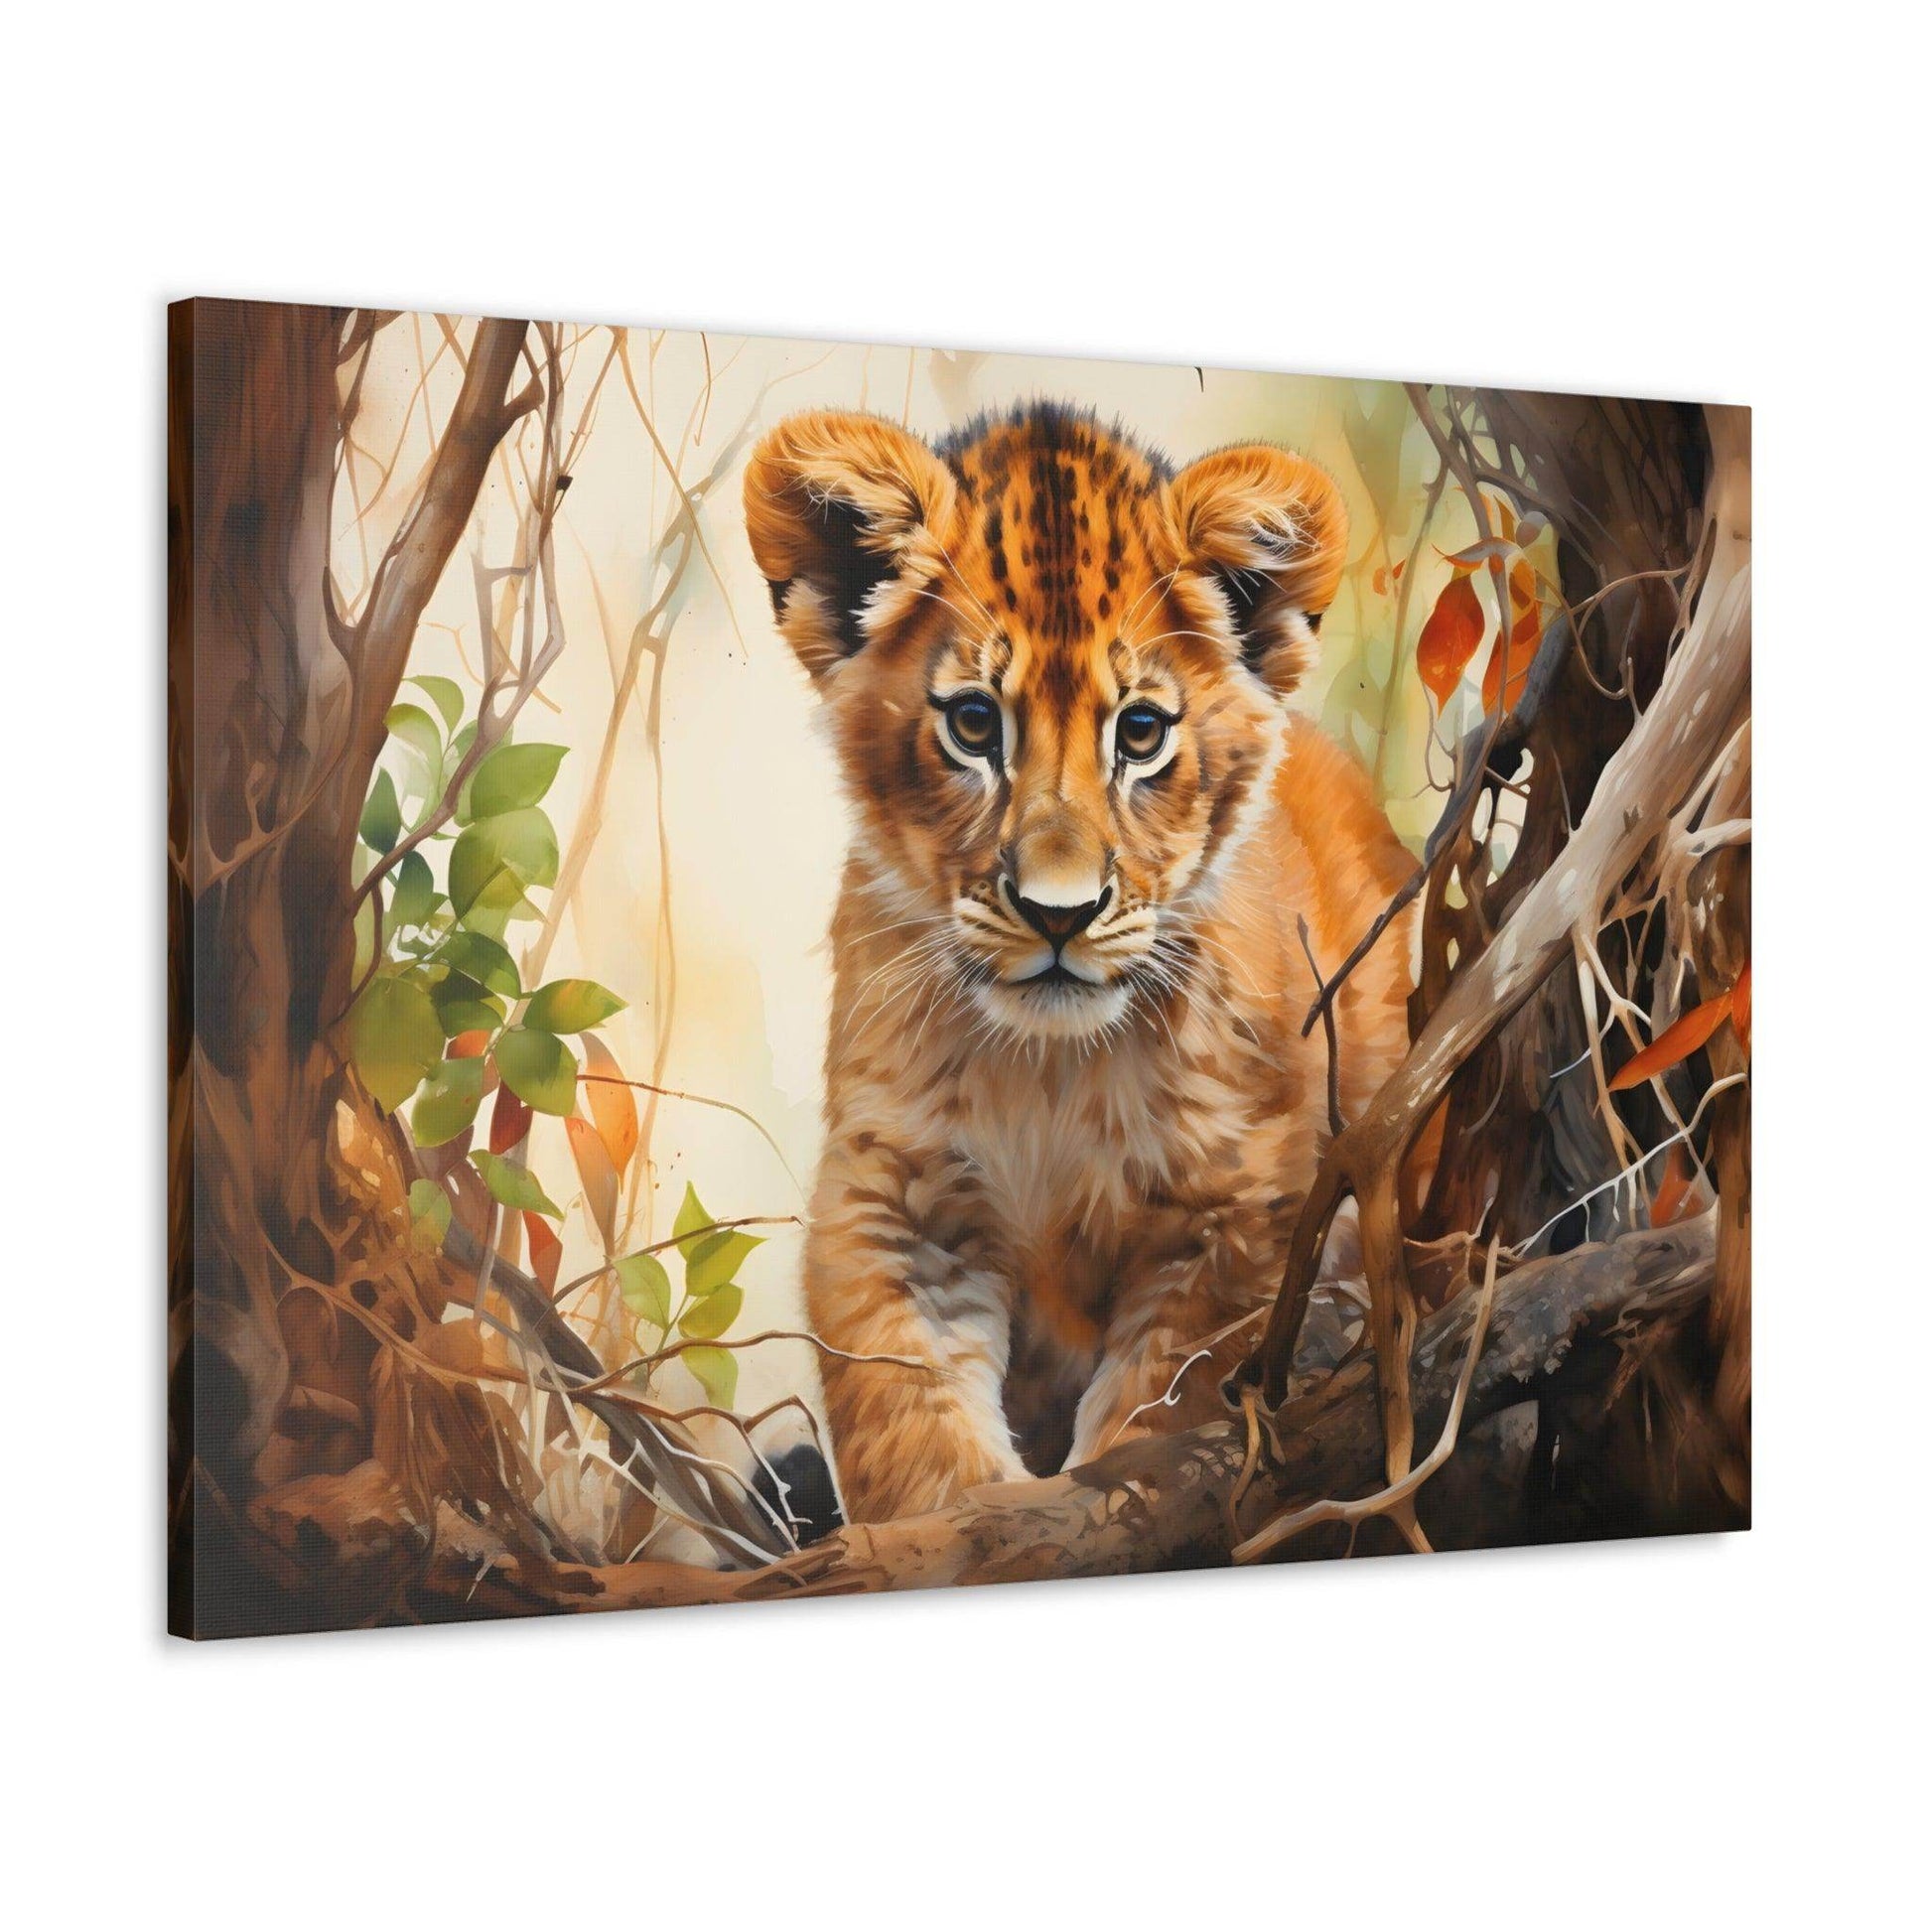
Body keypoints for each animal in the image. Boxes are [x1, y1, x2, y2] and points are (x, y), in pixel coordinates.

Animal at [744, 401, 1414, 1523]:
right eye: (974, 722)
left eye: (1138, 732)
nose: (1058, 916)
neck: (1050, 1070)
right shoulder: (894, 1191)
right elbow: (908, 1425)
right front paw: (966, 1516)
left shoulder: (1236, 1207)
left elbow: (1162, 1407)